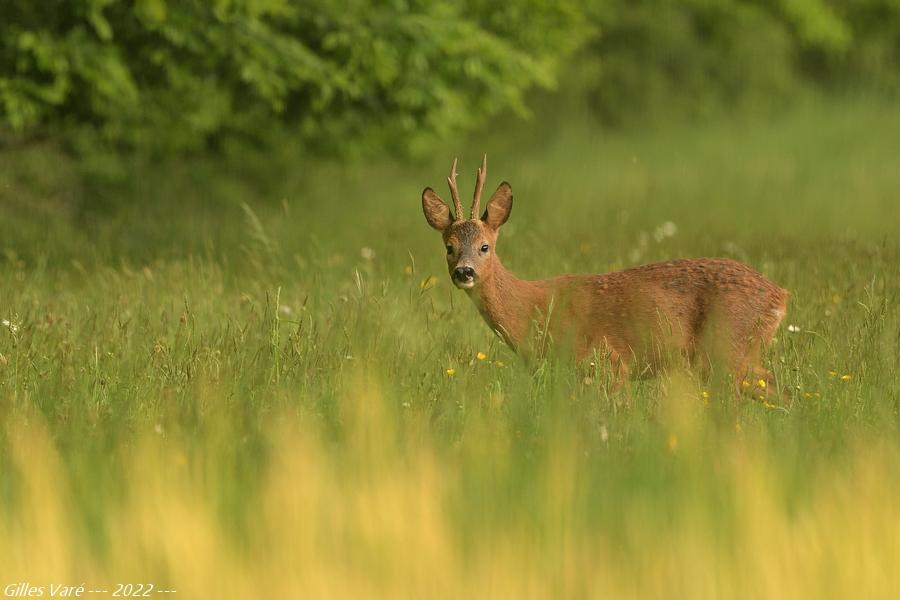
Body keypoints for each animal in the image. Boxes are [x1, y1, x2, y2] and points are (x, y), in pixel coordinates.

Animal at [422, 158, 788, 394]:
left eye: (484, 246)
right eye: (449, 247)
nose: (464, 271)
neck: (531, 310)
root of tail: (780, 295)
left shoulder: (610, 362)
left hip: (730, 345)